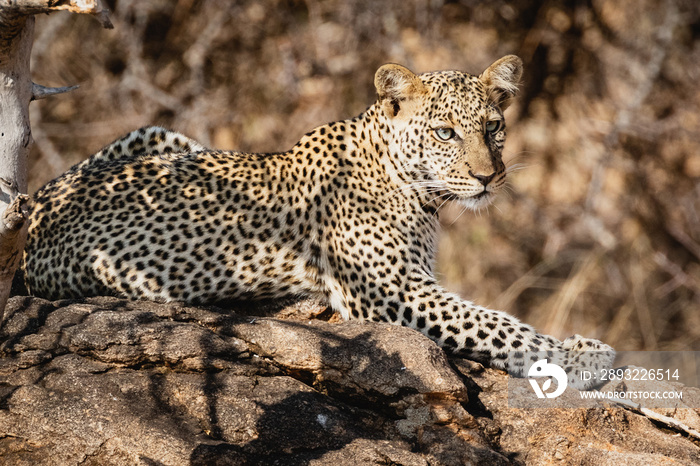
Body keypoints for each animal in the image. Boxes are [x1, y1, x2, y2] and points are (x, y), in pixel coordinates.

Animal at [20, 54, 612, 390]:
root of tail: (30, 223)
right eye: (445, 133)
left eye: (493, 128)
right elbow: (497, 325)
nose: (490, 177)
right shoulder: (394, 292)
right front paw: (578, 355)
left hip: (164, 137)